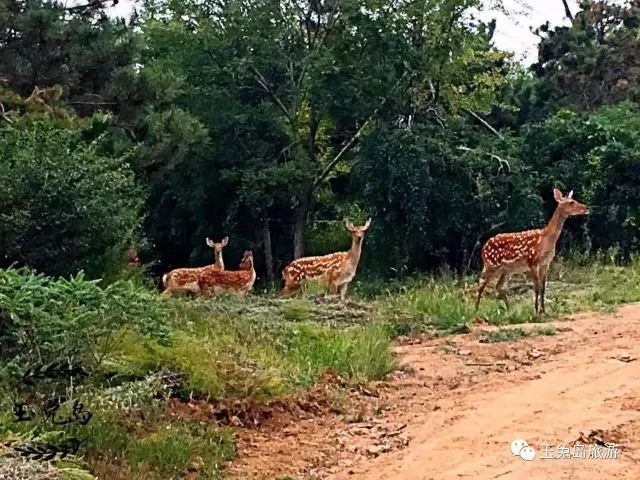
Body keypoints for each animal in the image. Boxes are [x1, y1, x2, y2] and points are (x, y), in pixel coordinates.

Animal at [476, 188, 592, 316]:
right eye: (571, 202)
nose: (586, 208)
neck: (545, 240)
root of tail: (483, 248)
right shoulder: (532, 261)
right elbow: (536, 287)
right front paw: (536, 311)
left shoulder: (545, 264)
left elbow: (543, 288)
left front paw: (544, 311)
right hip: (491, 264)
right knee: (481, 284)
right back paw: (476, 310)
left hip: (506, 269)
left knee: (498, 287)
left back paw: (509, 309)